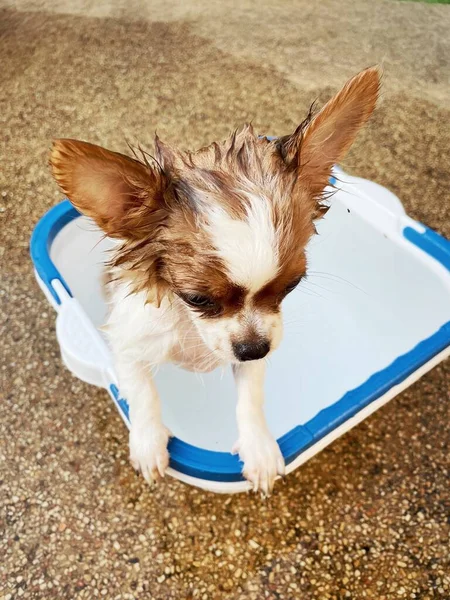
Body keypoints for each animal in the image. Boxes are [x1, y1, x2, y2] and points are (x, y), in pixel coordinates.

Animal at [49, 67, 380, 496]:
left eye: (292, 286)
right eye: (197, 299)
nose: (253, 348)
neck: (191, 332)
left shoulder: (256, 349)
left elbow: (250, 400)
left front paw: (258, 448)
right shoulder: (128, 346)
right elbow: (143, 395)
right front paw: (148, 442)